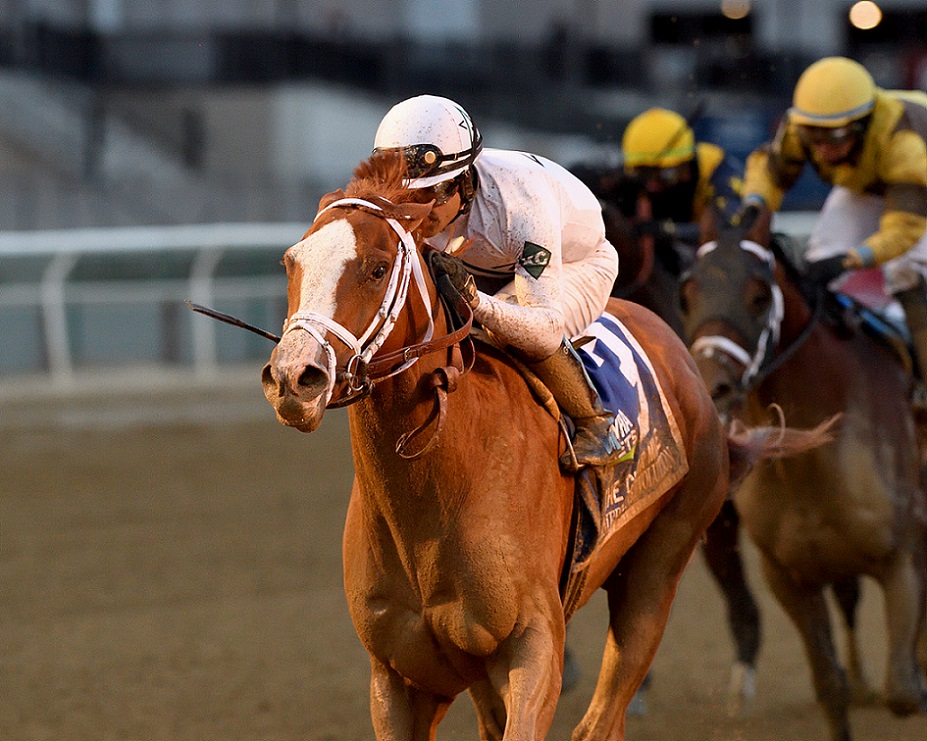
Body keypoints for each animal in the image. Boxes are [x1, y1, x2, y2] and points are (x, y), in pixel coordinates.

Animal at [260, 154, 831, 740]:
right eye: (290, 262)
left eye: (376, 268)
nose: (293, 377)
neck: (438, 488)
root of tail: (686, 361)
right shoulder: (398, 678)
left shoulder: (532, 645)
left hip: (659, 568)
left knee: (603, 716)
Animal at [678, 214, 927, 741]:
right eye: (687, 294)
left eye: (759, 296)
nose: (711, 387)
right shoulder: (789, 576)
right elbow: (830, 686)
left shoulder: (902, 559)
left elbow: (903, 690)